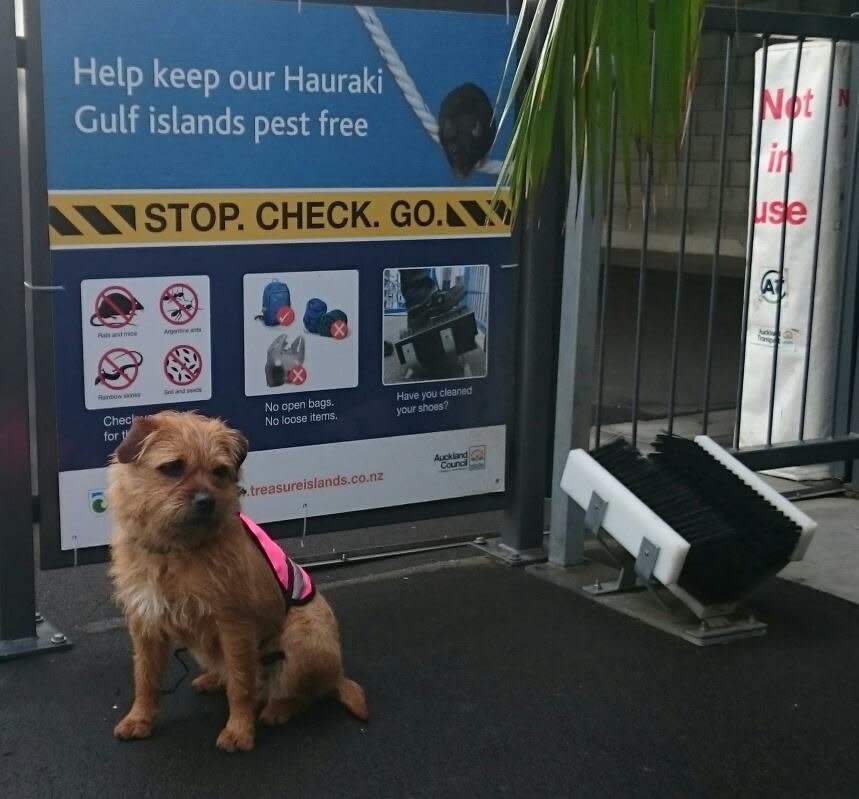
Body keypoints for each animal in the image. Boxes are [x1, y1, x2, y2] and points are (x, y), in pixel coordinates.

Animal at [106, 410, 366, 752]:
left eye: (219, 471)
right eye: (173, 467)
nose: (206, 501)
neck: (176, 550)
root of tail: (337, 674)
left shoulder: (234, 625)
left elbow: (241, 683)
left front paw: (239, 731)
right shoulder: (145, 624)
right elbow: (145, 677)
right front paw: (139, 719)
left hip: (305, 637)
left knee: (302, 693)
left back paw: (277, 709)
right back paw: (213, 679)